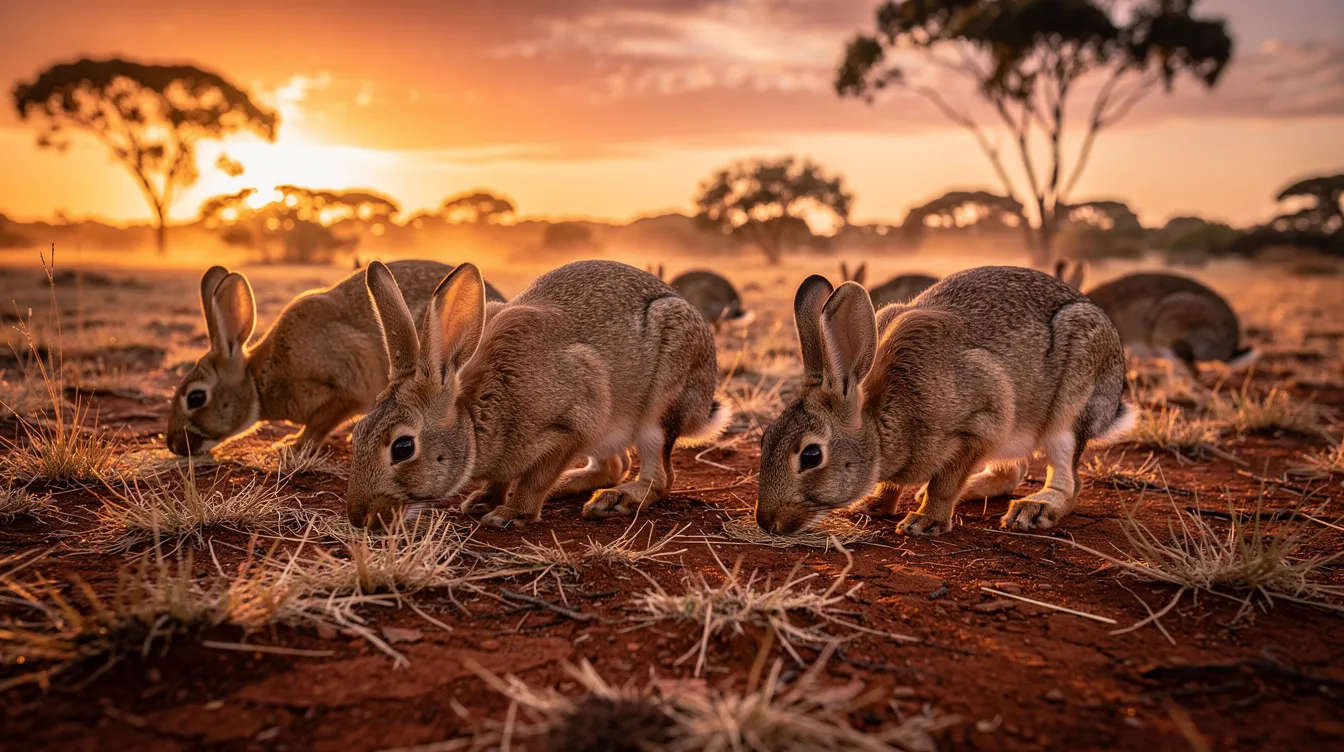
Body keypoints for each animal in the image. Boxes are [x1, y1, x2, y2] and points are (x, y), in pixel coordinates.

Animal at [166, 261, 506, 456]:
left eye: (195, 397)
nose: (172, 445)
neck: (258, 381)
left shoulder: (347, 391)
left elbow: (319, 423)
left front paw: (292, 446)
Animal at [345, 259, 732, 529]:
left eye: (403, 447)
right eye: (358, 432)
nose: (358, 518)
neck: (473, 418)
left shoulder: (573, 424)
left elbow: (536, 477)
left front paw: (510, 514)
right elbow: (503, 476)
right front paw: (483, 501)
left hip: (659, 407)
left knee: (659, 477)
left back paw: (613, 500)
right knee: (614, 465)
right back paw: (570, 487)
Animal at [756, 265, 1133, 537]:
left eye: (811, 455)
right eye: (765, 438)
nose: (766, 522)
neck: (881, 420)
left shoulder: (981, 424)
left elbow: (945, 483)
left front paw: (924, 521)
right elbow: (893, 482)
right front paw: (873, 505)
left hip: (1070, 407)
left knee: (1069, 479)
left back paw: (1035, 508)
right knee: (1013, 470)